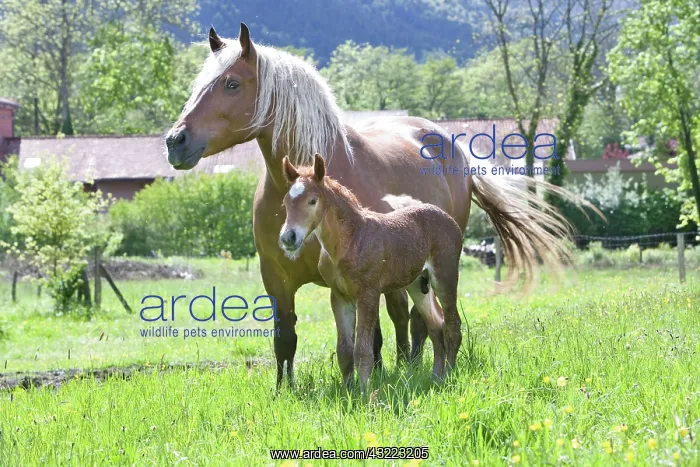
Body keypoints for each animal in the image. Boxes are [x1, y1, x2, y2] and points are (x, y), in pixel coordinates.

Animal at [280, 154, 463, 388]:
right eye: (286, 203)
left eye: (313, 201)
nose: (288, 237)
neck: (350, 240)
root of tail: (447, 218)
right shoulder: (339, 297)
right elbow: (344, 351)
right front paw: (347, 390)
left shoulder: (368, 295)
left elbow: (362, 350)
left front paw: (364, 392)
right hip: (418, 286)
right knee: (436, 327)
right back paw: (436, 378)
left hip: (445, 277)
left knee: (452, 326)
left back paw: (450, 374)